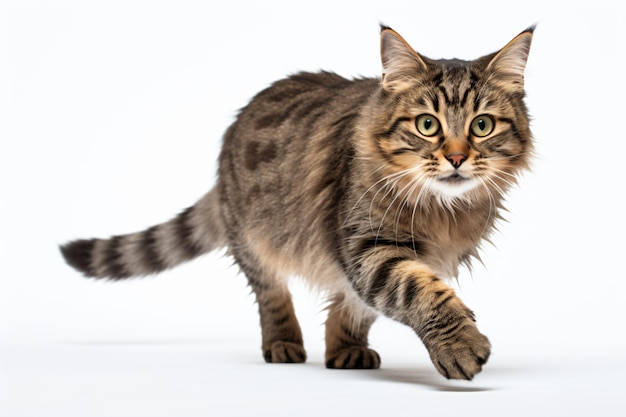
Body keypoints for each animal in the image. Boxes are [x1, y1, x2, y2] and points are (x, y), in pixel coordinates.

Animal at [61, 25, 532, 380]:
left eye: (482, 126)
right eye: (428, 125)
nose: (456, 158)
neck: (442, 211)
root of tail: (233, 132)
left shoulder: (400, 255)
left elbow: (361, 304)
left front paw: (345, 344)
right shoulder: (367, 245)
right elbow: (420, 292)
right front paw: (460, 345)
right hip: (253, 240)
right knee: (271, 294)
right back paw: (283, 343)